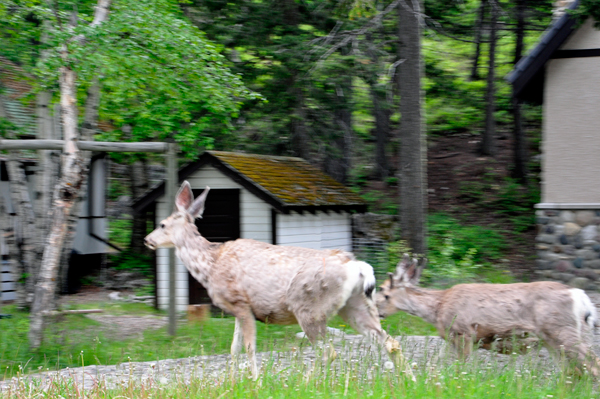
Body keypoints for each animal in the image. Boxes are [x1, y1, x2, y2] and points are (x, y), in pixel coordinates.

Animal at [145, 181, 414, 382]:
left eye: (162, 224)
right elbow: (233, 348)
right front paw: (231, 381)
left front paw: (255, 381)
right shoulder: (237, 309)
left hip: (309, 306)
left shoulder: (240, 303)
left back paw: (306, 382)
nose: (148, 240)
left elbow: (249, 347)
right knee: (390, 342)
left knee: (329, 351)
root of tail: (357, 267)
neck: (210, 264)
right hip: (355, 305)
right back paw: (410, 380)